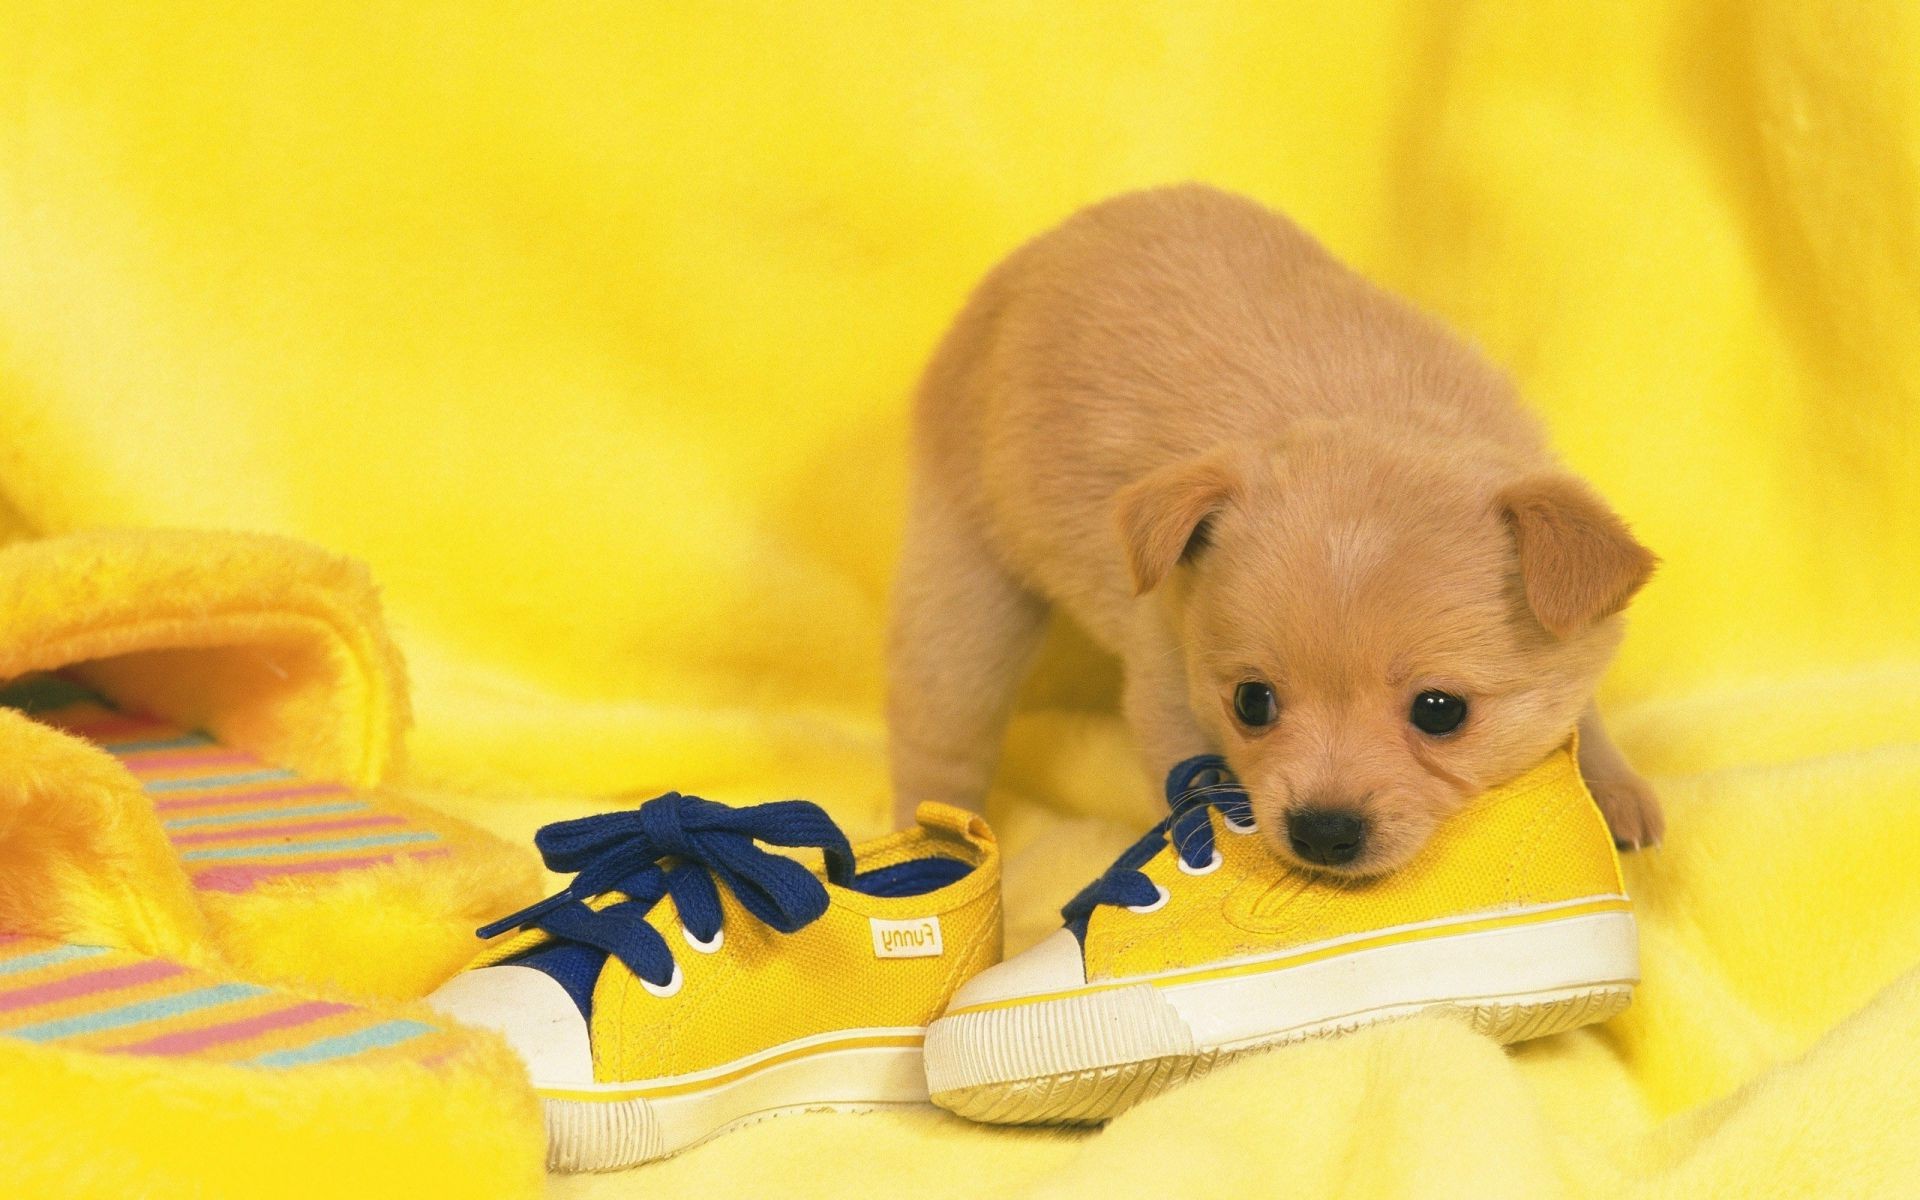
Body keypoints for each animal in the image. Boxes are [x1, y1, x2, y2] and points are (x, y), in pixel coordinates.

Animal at [890, 185, 1658, 871]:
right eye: (1251, 703)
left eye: (1440, 712)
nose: (1323, 831)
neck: (1376, 413)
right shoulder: (1168, 685)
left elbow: (1581, 708)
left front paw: (1612, 789)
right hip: (967, 583)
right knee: (940, 737)